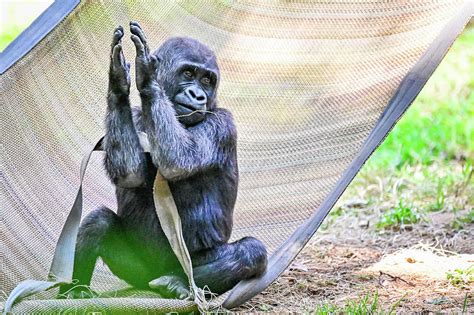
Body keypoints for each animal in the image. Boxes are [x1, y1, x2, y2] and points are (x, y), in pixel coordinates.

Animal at [58, 21, 266, 298]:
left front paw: (148, 75)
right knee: (98, 222)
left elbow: (179, 159)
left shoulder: (223, 124)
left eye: (207, 80)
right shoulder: (136, 117)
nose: (197, 95)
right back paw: (74, 289)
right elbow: (130, 172)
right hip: (138, 272)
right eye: (188, 73)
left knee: (252, 252)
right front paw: (118, 81)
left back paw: (178, 282)